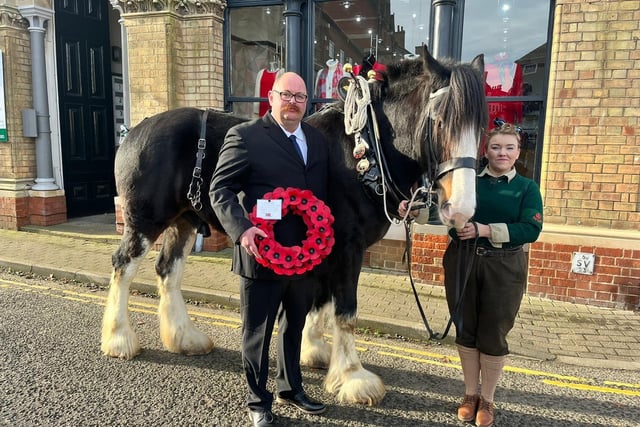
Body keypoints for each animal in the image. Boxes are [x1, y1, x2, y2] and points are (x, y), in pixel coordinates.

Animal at [102, 48, 488, 406]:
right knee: (124, 266)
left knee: (168, 270)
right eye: (439, 121)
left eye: (481, 127)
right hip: (144, 221)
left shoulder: (327, 243)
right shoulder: (349, 247)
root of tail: (136, 129)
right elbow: (345, 310)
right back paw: (119, 339)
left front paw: (314, 351)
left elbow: (319, 302)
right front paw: (353, 377)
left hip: (183, 222)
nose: (461, 209)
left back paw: (184, 338)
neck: (364, 150)